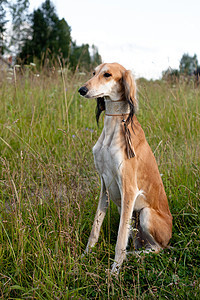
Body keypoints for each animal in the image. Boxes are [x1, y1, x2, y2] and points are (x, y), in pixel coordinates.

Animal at [78, 62, 172, 274]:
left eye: (107, 75)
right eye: (94, 73)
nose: (82, 90)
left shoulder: (129, 189)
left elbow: (120, 240)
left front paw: (114, 272)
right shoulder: (104, 184)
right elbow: (95, 228)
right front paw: (85, 256)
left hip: (145, 214)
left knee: (157, 249)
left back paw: (132, 257)